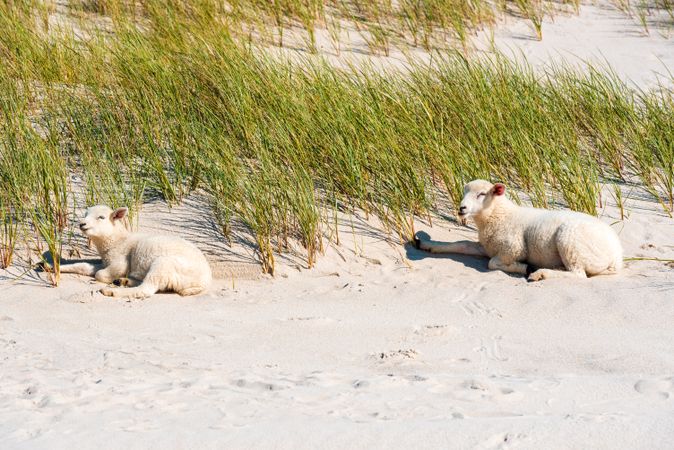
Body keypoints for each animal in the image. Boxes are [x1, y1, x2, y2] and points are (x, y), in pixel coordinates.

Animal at [61, 205, 213, 298]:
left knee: (146, 289)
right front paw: (56, 267)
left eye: (101, 217)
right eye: (85, 214)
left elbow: (100, 274)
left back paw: (111, 291)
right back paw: (123, 281)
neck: (117, 240)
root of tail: (201, 283)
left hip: (165, 265)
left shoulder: (120, 262)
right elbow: (82, 266)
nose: (82, 224)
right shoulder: (106, 262)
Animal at [412, 179, 624, 282]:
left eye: (482, 194)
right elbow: (460, 244)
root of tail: (617, 257)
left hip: (570, 241)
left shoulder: (512, 249)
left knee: (578, 274)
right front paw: (427, 245)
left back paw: (540, 273)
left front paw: (524, 267)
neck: (498, 215)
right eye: (464, 192)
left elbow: (492, 263)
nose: (461, 208)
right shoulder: (486, 246)